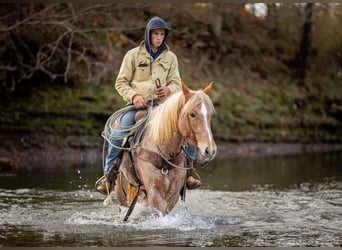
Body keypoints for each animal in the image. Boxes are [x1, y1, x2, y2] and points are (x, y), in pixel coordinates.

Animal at [114, 80, 216, 219]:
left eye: (210, 115)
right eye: (192, 114)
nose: (210, 150)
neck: (164, 151)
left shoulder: (173, 193)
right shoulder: (155, 192)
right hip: (123, 193)